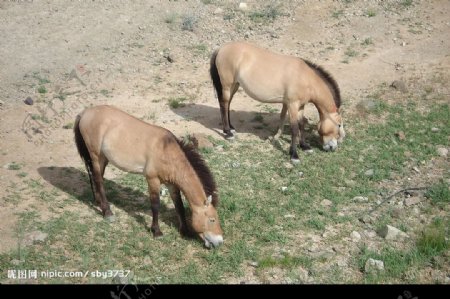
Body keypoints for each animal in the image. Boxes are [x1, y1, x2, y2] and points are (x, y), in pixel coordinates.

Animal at [74, 104, 225, 250]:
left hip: (103, 158)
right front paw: (156, 231)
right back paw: (107, 212)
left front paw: (185, 231)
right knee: (98, 179)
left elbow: (179, 205)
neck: (166, 151)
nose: (219, 242)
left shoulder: (172, 185)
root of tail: (85, 112)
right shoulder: (153, 180)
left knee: (96, 177)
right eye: (212, 219)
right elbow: (155, 205)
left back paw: (99, 202)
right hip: (96, 156)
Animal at [209, 41, 346, 163]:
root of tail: (221, 48)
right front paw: (294, 155)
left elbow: (300, 123)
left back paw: (231, 128)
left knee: (228, 104)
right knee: (224, 104)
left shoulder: (299, 106)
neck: (305, 78)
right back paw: (228, 133)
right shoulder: (292, 105)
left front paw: (304, 146)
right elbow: (294, 128)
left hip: (235, 85)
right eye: (339, 125)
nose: (333, 147)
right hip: (227, 85)